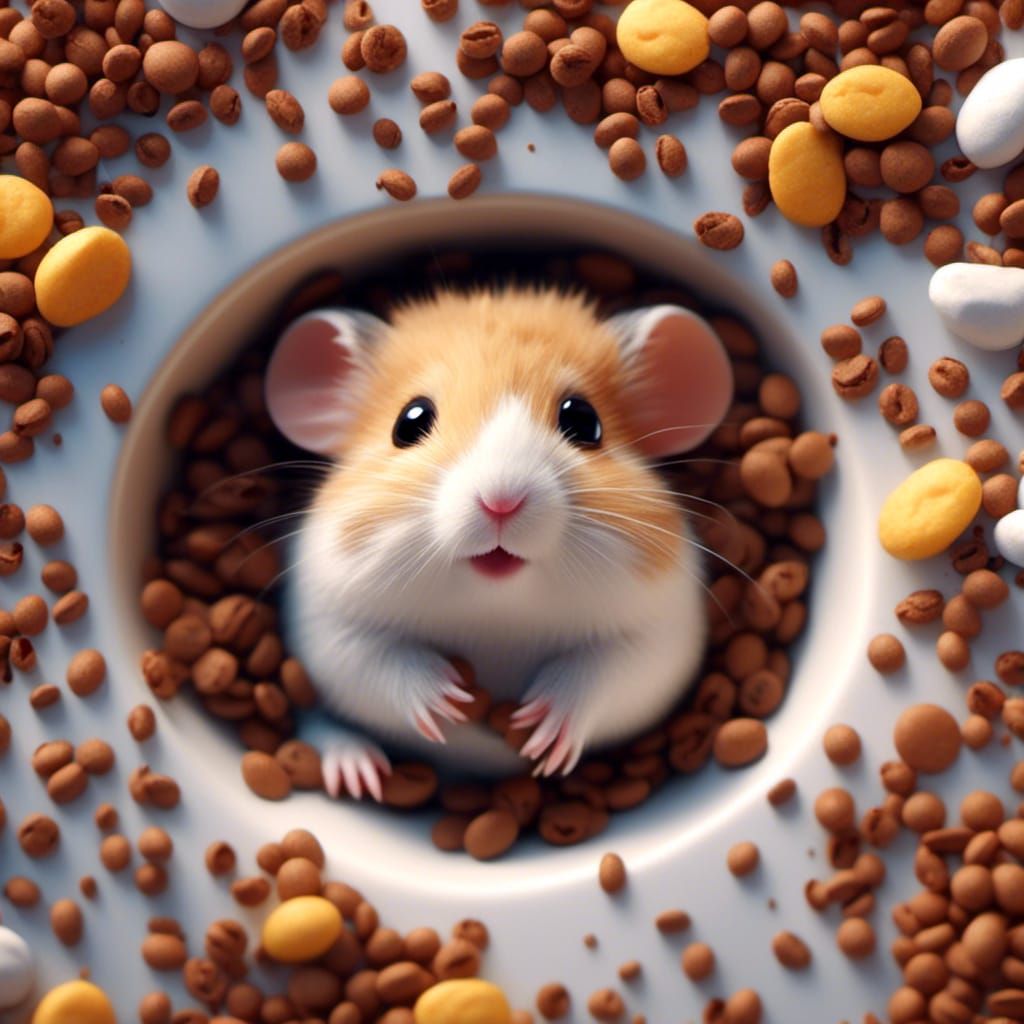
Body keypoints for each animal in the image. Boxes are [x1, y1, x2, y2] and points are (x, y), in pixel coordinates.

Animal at [264, 287, 734, 800]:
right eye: (408, 423)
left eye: (584, 421)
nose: (501, 502)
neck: (497, 609)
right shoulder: (329, 622)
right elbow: (380, 659)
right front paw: (450, 702)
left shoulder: (661, 635)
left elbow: (601, 673)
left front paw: (536, 728)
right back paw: (358, 771)